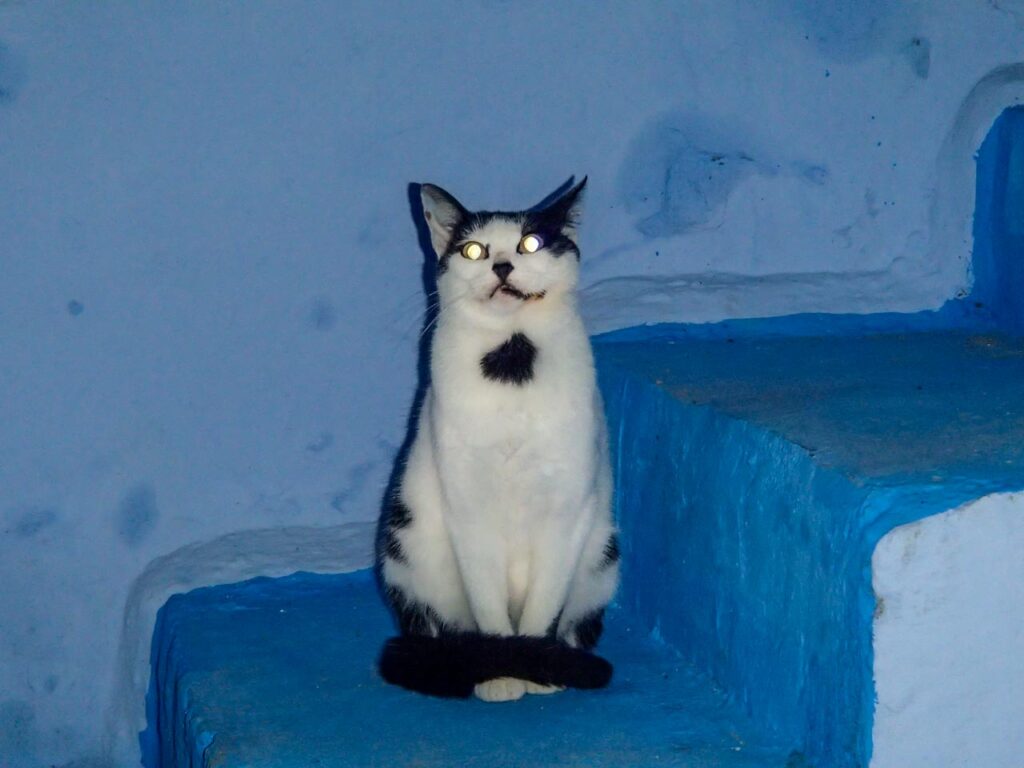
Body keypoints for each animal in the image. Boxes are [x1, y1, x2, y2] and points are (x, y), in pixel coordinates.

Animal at [376, 179, 614, 704]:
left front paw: (539, 667)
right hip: (405, 553)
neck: (512, 357)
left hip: (603, 557)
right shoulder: (467, 507)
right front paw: (504, 671)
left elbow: (545, 604)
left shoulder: (570, 508)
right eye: (473, 250)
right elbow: (489, 608)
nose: (501, 264)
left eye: (532, 243)